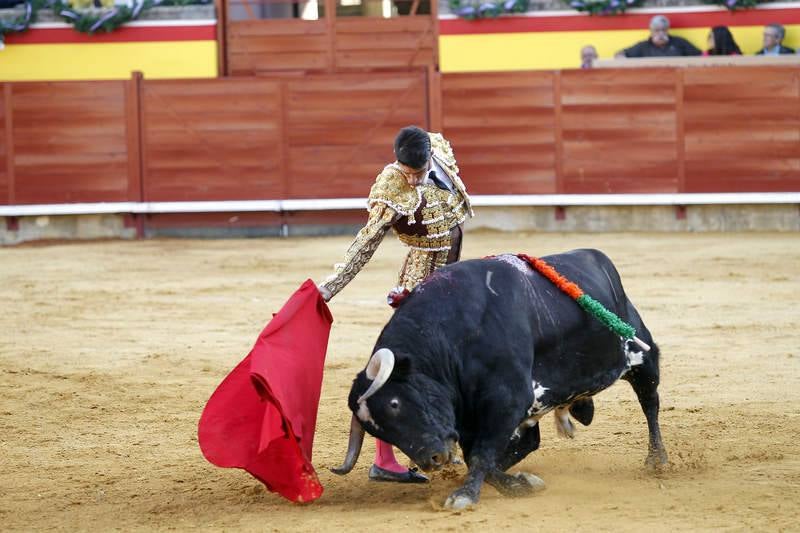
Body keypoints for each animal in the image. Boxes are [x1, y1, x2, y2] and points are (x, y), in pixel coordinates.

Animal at [332, 249, 668, 508]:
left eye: (394, 403)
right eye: (378, 431)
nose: (433, 459)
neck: (452, 335)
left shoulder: (507, 401)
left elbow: (481, 456)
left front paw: (465, 496)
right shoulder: (471, 413)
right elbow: (480, 457)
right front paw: (521, 483)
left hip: (643, 358)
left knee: (650, 403)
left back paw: (657, 460)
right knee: (530, 440)